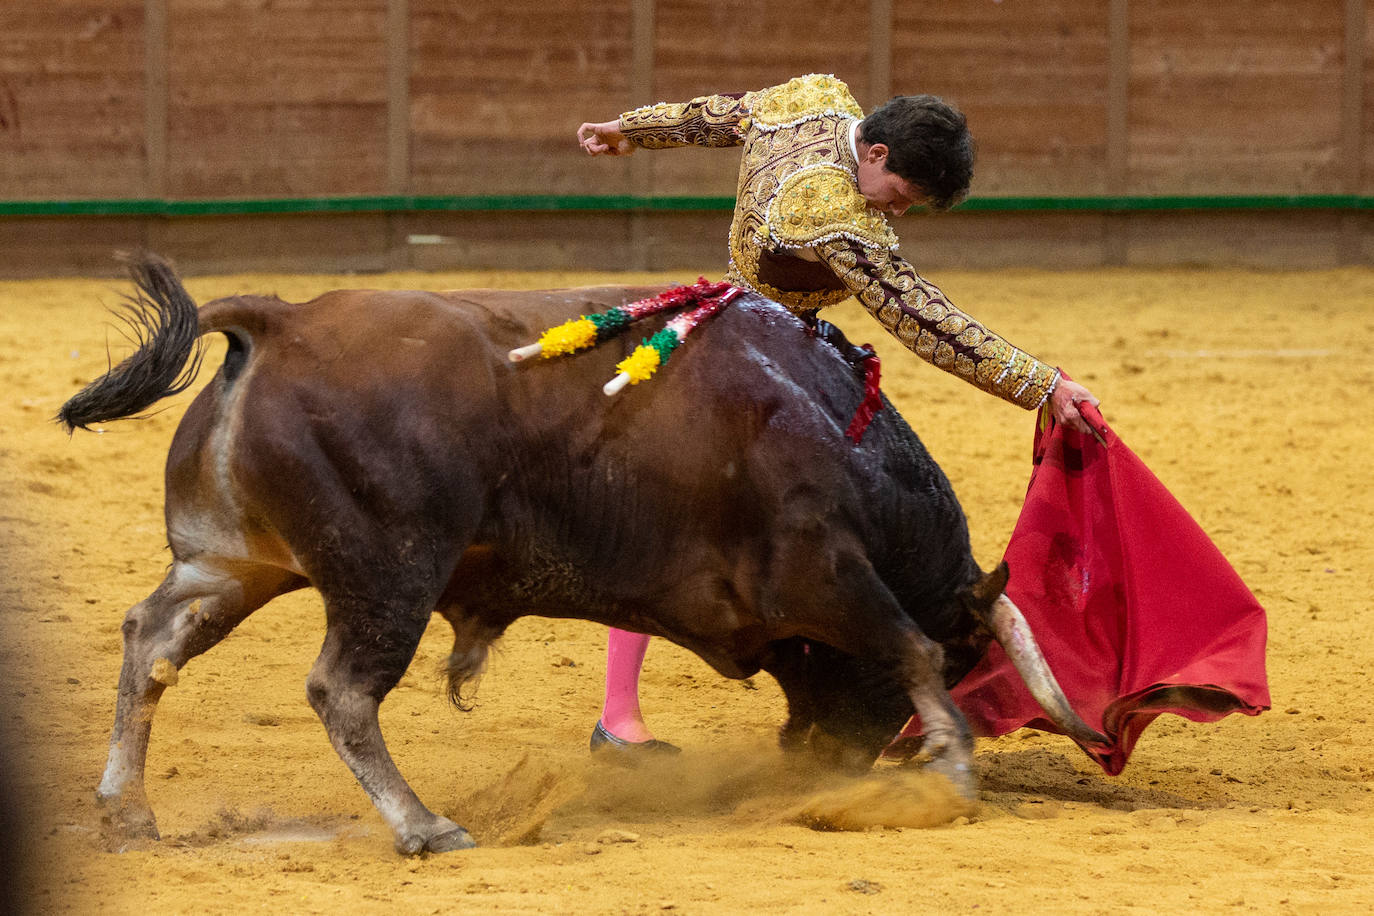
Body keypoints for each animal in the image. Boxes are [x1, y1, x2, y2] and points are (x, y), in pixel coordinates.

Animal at [61, 256, 1104, 851]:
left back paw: (128, 812)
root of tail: (285, 318)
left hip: (234, 565)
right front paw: (953, 776)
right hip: (389, 570)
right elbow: (907, 645)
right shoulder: (823, 568)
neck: (832, 423)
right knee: (341, 690)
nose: (836, 760)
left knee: (150, 640)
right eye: (971, 658)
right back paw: (425, 826)